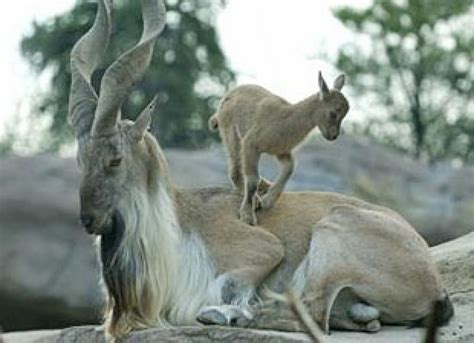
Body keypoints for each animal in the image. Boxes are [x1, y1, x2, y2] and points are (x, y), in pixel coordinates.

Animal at [209, 72, 350, 226]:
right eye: (333, 113)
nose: (333, 136)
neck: (285, 119)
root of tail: (223, 102)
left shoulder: (281, 151)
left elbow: (289, 168)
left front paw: (268, 201)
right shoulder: (250, 144)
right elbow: (252, 180)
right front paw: (248, 215)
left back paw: (265, 186)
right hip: (232, 134)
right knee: (235, 170)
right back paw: (253, 196)